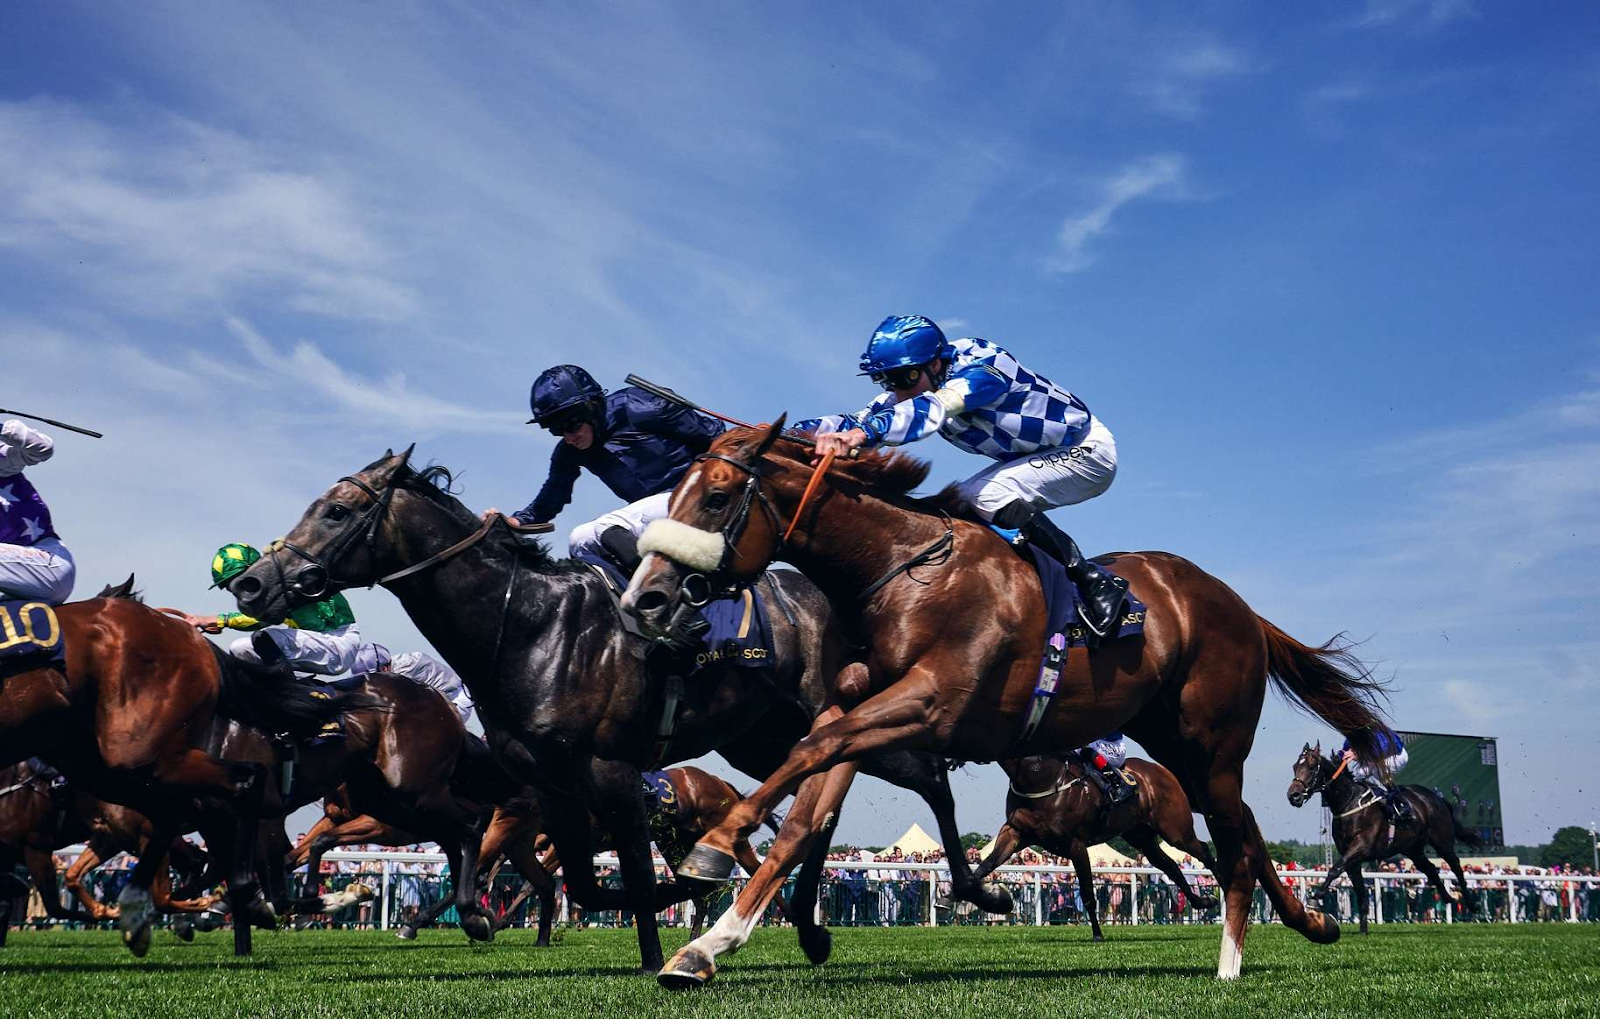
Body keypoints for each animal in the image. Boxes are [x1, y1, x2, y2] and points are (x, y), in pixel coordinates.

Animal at [966, 751, 1216, 940]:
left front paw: (1097, 933)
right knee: (1170, 866)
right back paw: (1203, 900)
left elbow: (1087, 891)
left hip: (1176, 830)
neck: (1040, 776)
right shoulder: (1015, 833)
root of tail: (1164, 771)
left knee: (1204, 851)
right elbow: (984, 866)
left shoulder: (1076, 844)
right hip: (1141, 837)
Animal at [1280, 739, 1478, 927]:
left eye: (1312, 766)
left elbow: (1334, 869)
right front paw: (1363, 930)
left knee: (1455, 864)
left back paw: (1471, 903)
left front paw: (1315, 897)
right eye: (1295, 766)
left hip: (1441, 840)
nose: (1293, 796)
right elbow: (1359, 890)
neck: (1349, 802)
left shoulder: (1361, 847)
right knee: (1429, 868)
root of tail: (1437, 799)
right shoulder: (1350, 856)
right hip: (1413, 848)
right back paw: (1447, 897)